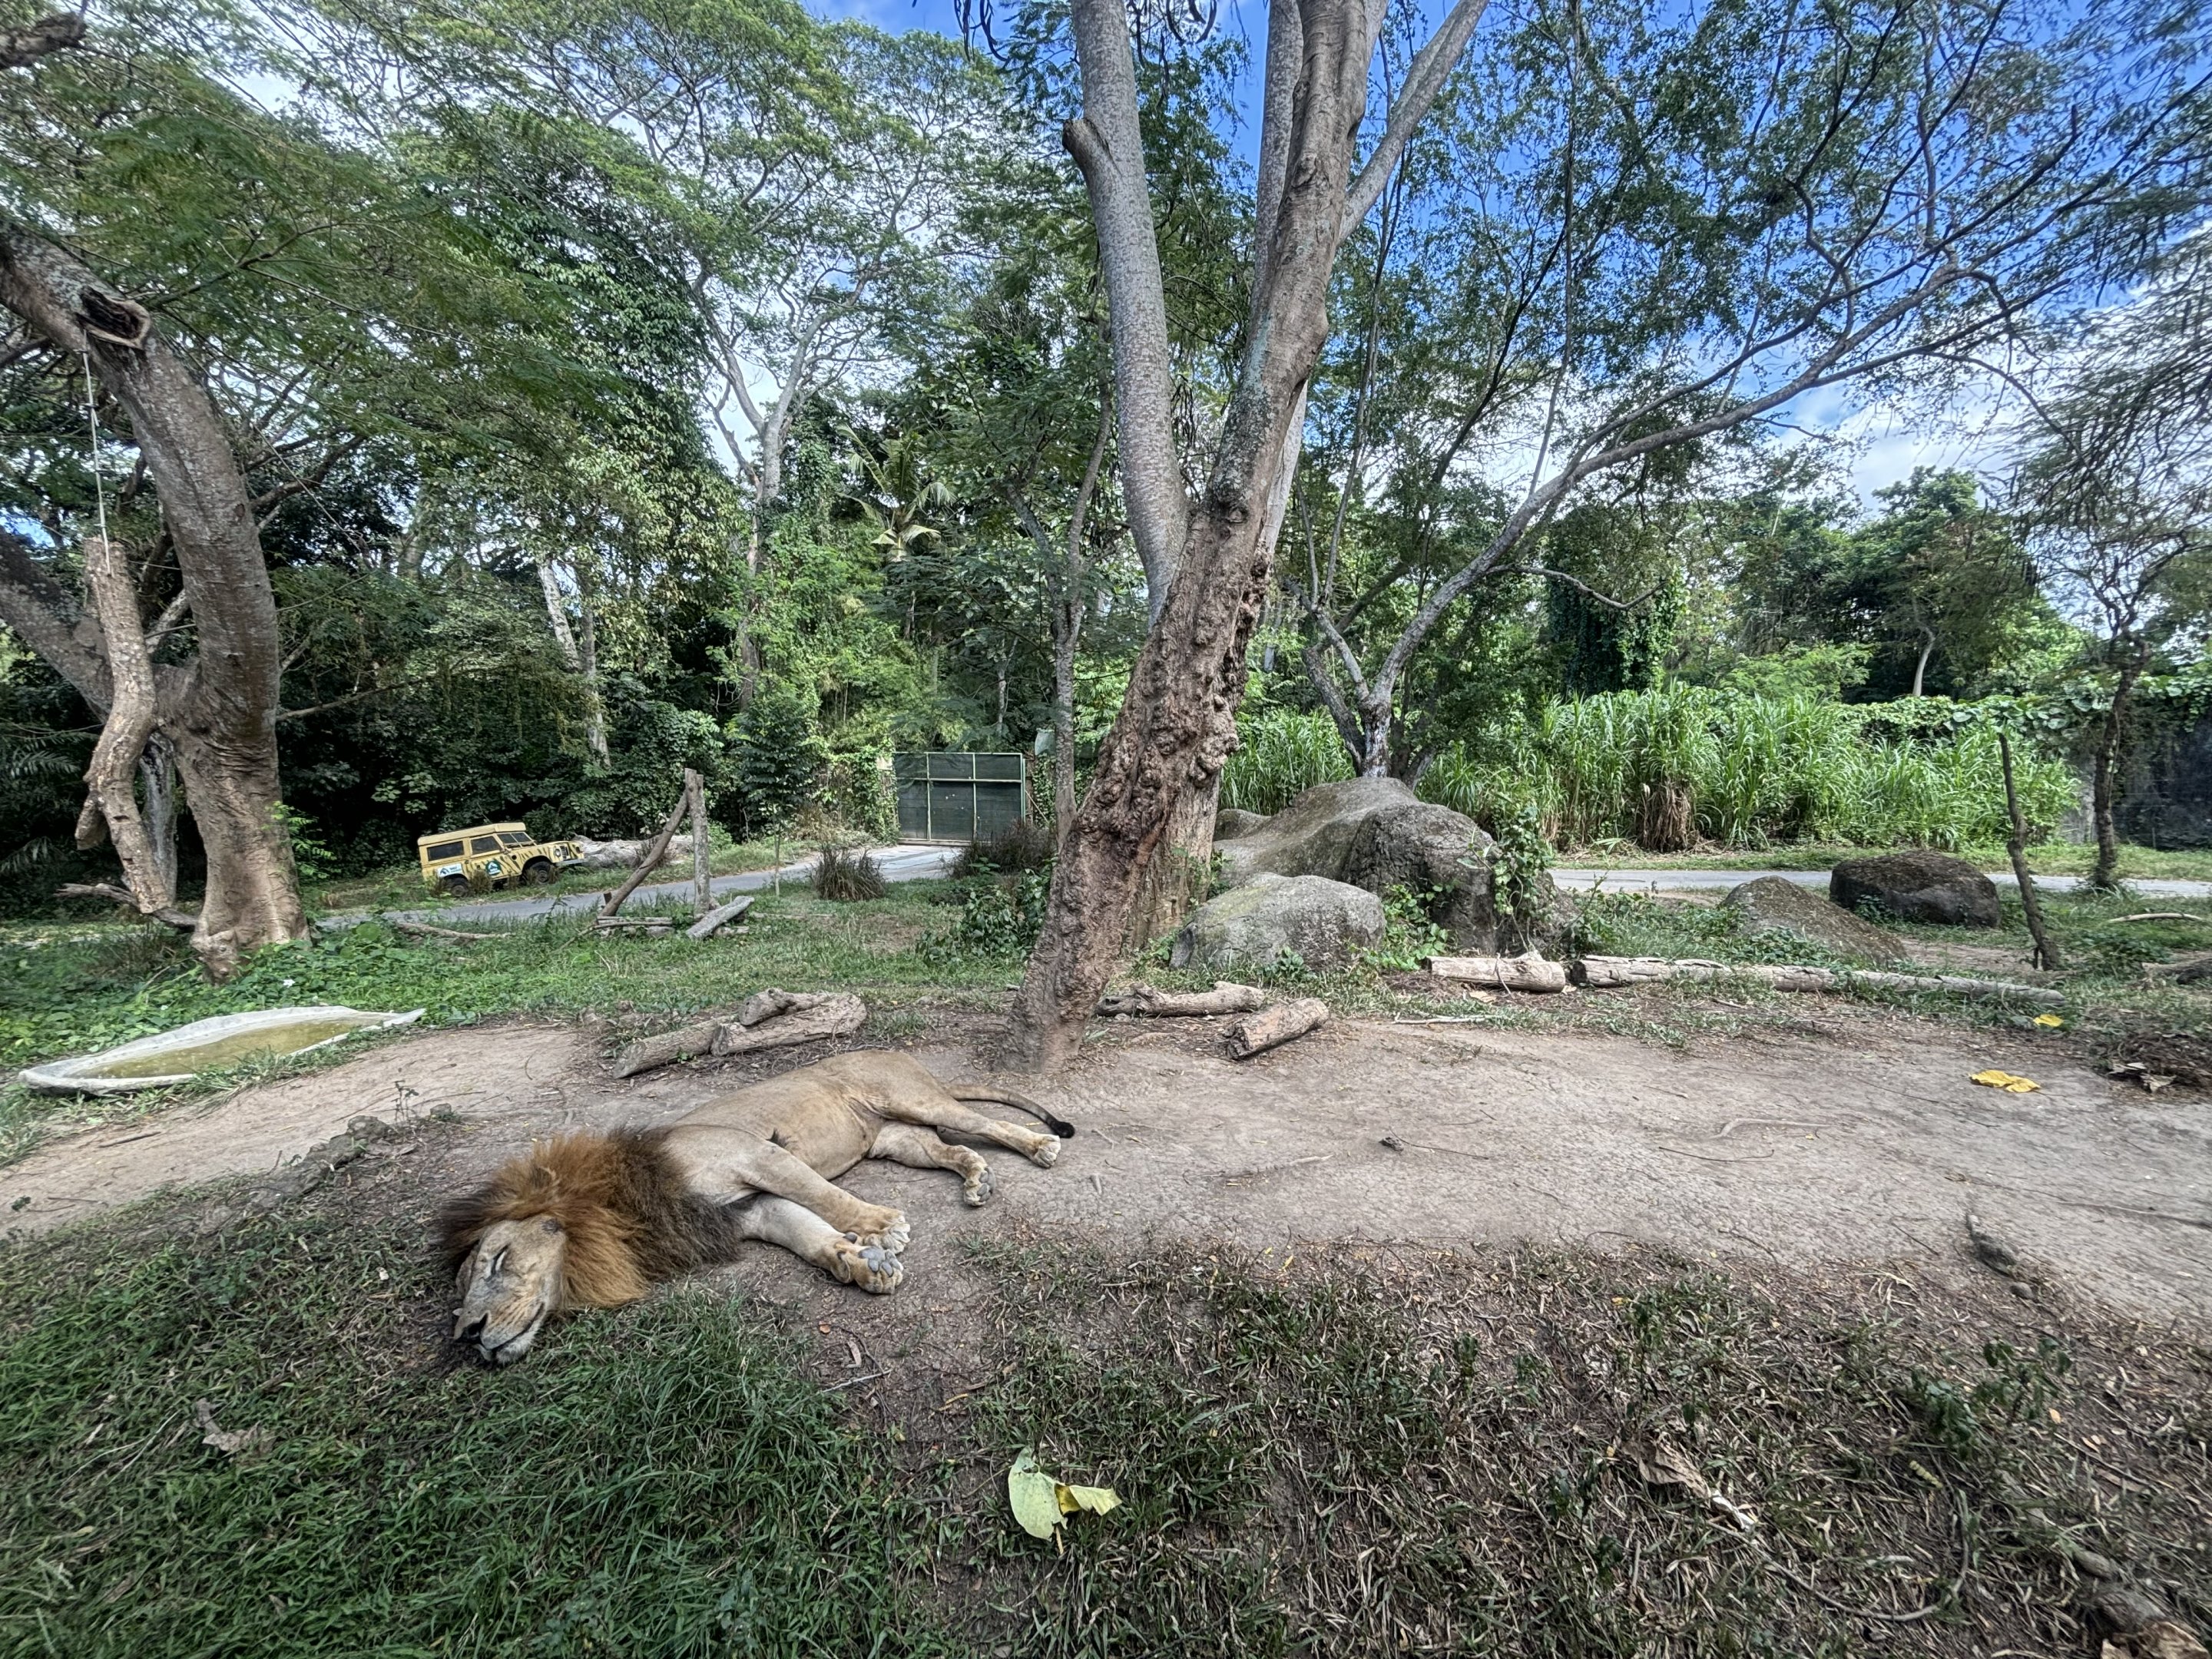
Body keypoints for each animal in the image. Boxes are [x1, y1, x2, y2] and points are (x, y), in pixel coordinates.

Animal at [438, 1049, 1073, 1365]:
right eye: (463, 1288)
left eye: (498, 1259)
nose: (468, 1334)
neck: (629, 1208)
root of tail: (902, 1053)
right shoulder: (753, 1209)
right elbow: (809, 1232)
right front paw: (863, 1264)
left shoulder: (755, 1153)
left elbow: (825, 1196)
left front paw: (881, 1226)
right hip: (894, 1137)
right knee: (951, 1148)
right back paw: (976, 1179)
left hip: (911, 1098)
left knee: (987, 1122)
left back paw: (1040, 1146)